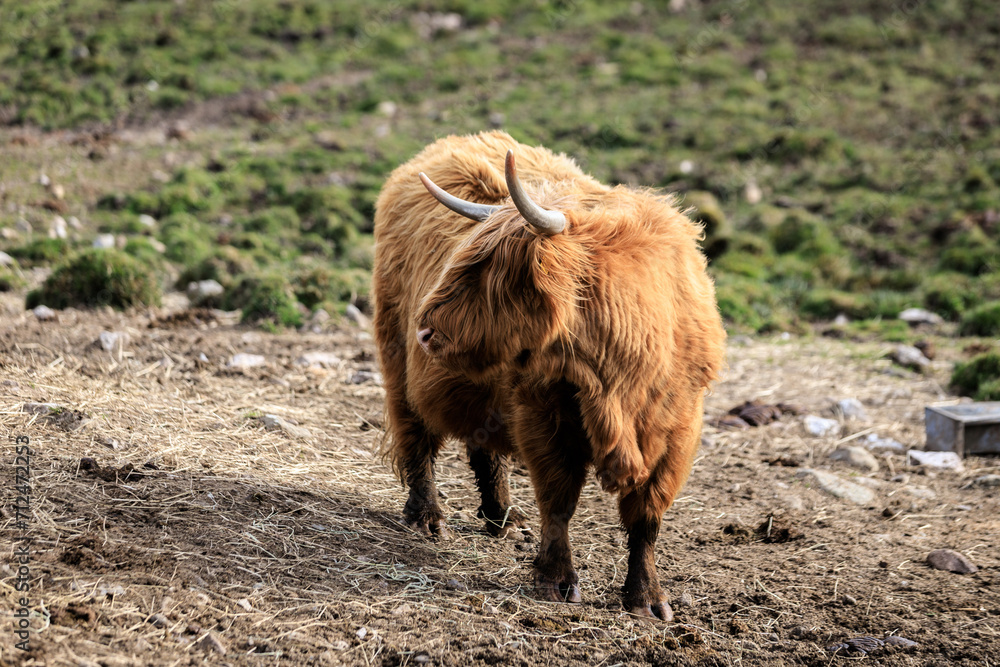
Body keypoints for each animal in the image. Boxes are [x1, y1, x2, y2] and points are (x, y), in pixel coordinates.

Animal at [373, 131, 725, 620]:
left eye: (491, 272)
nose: (425, 331)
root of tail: (453, 142)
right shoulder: (544, 413)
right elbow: (559, 501)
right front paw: (556, 581)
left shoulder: (677, 431)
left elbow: (647, 517)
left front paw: (648, 599)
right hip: (396, 358)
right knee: (415, 436)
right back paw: (427, 518)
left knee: (483, 444)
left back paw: (502, 517)